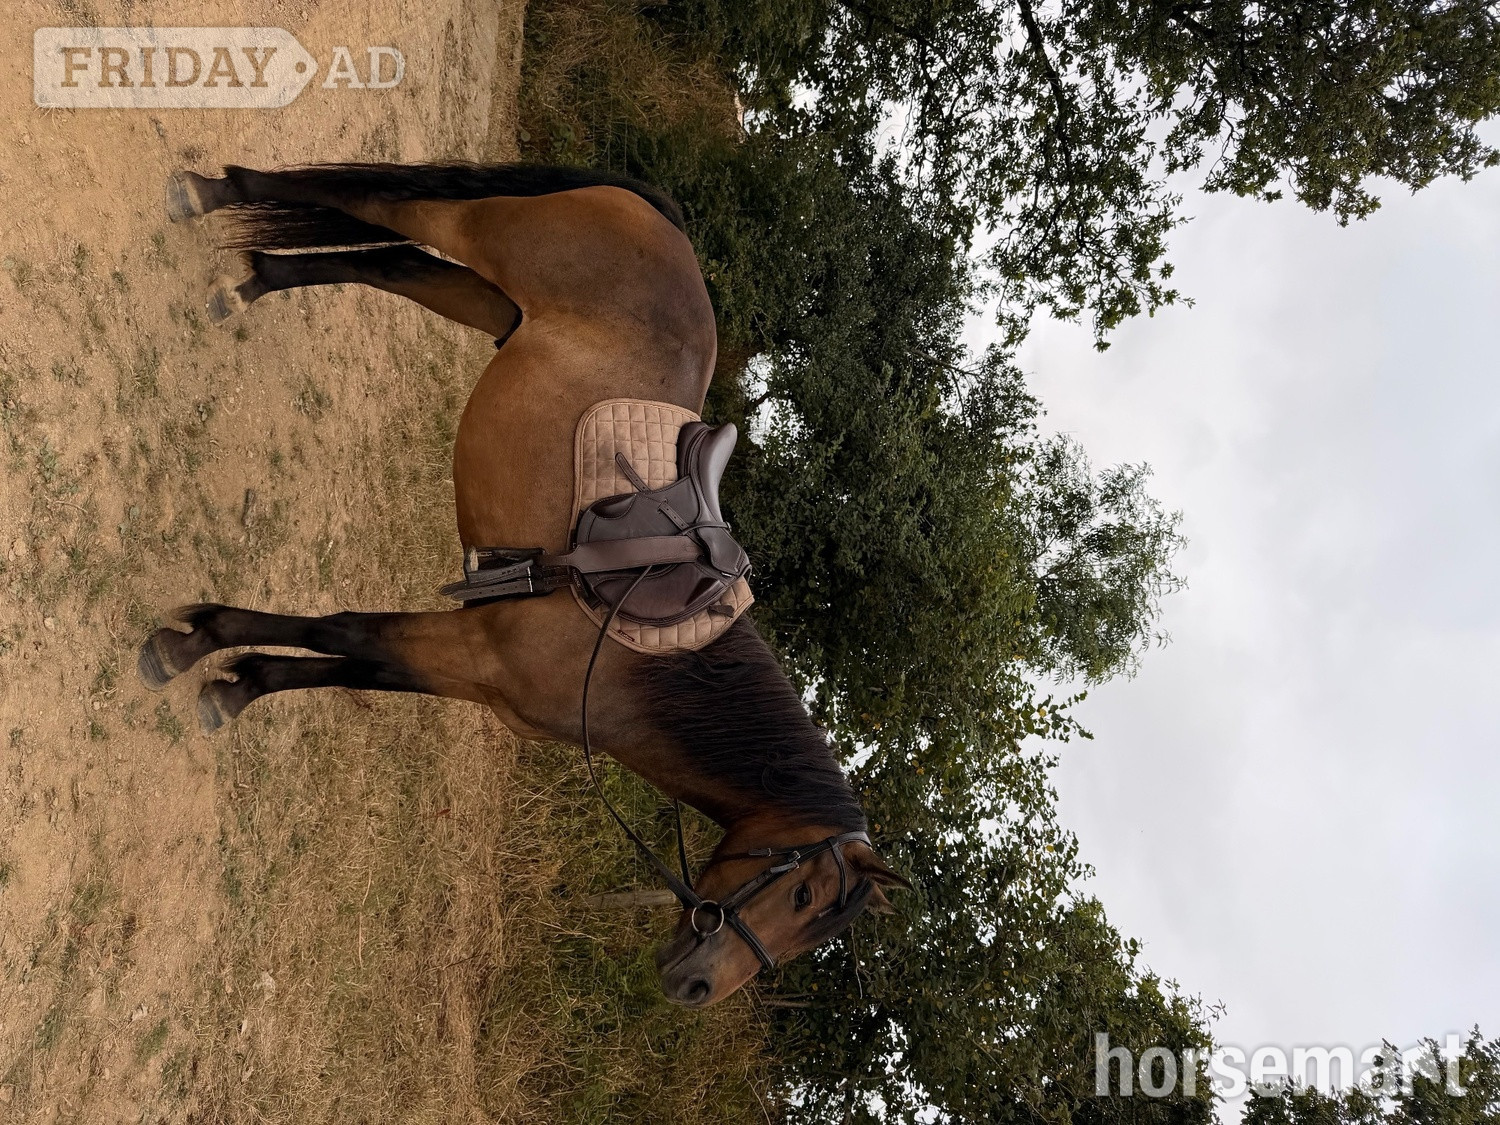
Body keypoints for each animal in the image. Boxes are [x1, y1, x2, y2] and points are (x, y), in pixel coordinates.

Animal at [139, 162, 910, 1008]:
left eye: (811, 932)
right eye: (802, 896)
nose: (695, 987)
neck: (644, 665)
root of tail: (662, 219)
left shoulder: (477, 673)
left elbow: (358, 663)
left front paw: (239, 681)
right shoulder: (475, 646)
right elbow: (343, 631)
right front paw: (196, 642)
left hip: (498, 307)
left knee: (393, 263)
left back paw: (253, 280)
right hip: (483, 235)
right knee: (376, 205)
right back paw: (209, 194)